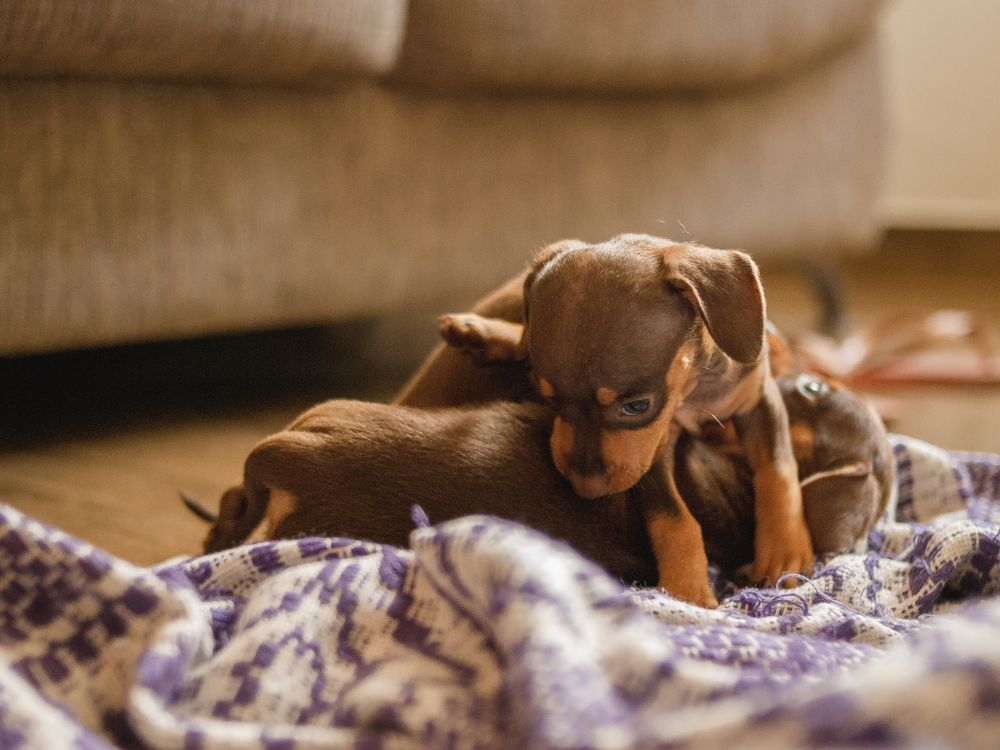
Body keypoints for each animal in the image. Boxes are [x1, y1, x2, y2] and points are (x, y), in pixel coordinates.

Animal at [430, 235, 812, 600]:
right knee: (524, 339)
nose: (586, 490)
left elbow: (778, 473)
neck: (691, 389)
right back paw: (480, 332)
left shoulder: (759, 402)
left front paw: (783, 553)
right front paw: (686, 590)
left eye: (637, 406)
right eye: (548, 399)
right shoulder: (653, 453)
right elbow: (674, 518)